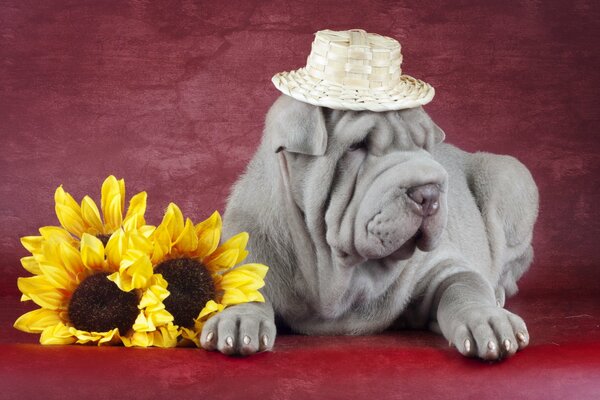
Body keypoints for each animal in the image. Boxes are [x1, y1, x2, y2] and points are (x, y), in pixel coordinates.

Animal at [200, 95, 540, 360]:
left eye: (425, 147)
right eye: (357, 147)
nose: (428, 193)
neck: (339, 272)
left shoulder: (444, 265)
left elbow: (465, 286)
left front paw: (488, 319)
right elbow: (244, 288)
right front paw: (239, 319)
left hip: (509, 177)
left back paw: (497, 294)